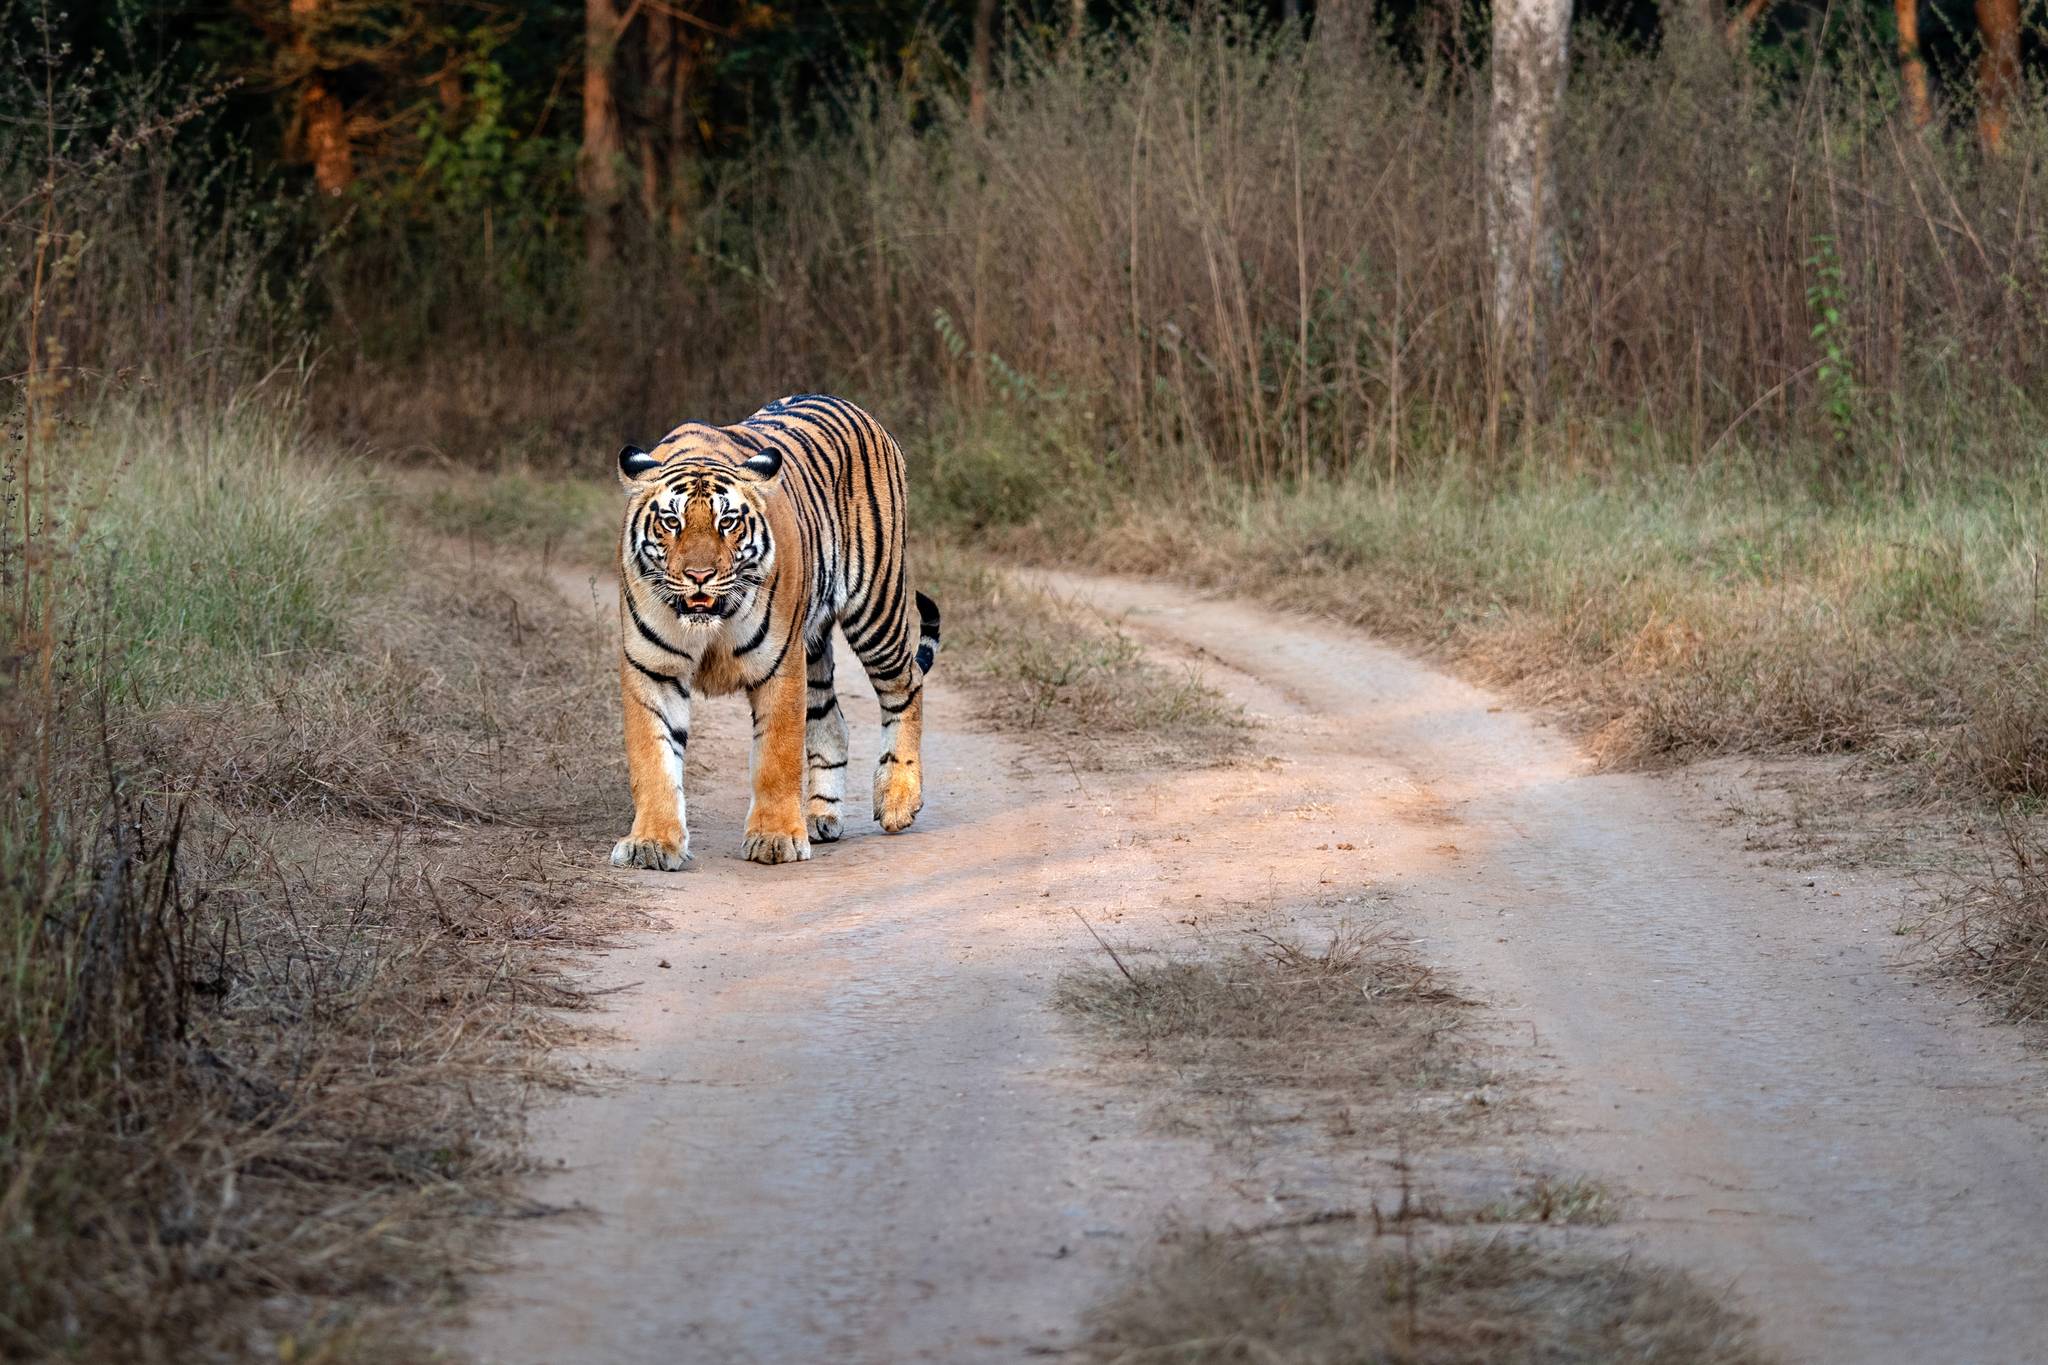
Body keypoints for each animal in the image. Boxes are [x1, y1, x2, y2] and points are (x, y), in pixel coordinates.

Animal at [598, 388, 937, 871]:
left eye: (727, 522)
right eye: (671, 522)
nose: (698, 576)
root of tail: (857, 409)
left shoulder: (780, 664)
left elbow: (778, 754)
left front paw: (775, 838)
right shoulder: (653, 669)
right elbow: (653, 758)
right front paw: (652, 843)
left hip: (876, 604)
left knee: (905, 685)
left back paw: (897, 799)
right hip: (815, 645)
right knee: (833, 722)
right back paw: (819, 817)